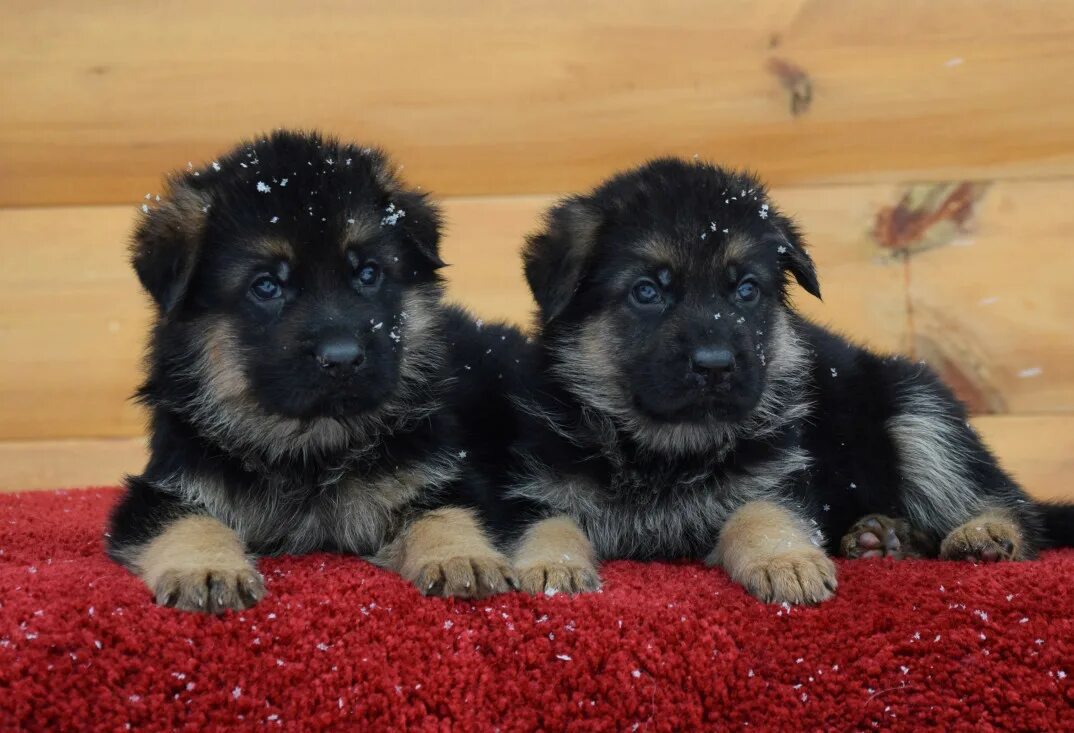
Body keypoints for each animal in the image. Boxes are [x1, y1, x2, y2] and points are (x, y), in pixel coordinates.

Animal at [106, 132, 521, 610]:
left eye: (368, 273)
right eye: (267, 286)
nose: (342, 358)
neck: (311, 449)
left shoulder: (444, 477)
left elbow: (446, 513)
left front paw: (460, 557)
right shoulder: (159, 491)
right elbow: (187, 522)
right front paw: (208, 570)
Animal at [504, 156, 1074, 601]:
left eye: (747, 290)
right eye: (647, 291)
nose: (715, 365)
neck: (669, 451)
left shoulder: (777, 479)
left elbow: (761, 513)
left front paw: (784, 561)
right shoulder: (537, 491)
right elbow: (549, 524)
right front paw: (551, 565)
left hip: (916, 412)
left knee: (1011, 506)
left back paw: (981, 533)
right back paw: (885, 538)